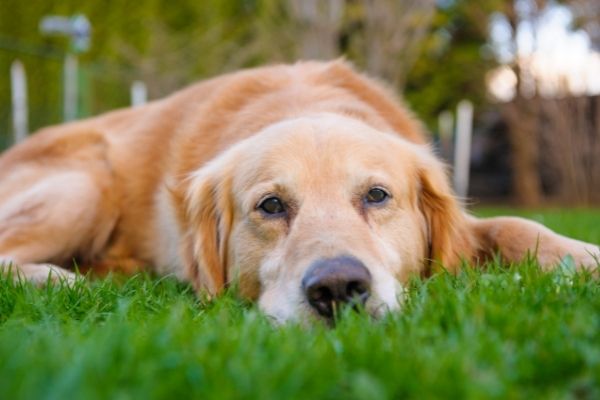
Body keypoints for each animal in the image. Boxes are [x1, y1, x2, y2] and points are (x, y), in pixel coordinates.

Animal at [0, 61, 596, 324]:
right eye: (271, 206)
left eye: (377, 196)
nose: (337, 288)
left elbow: (513, 226)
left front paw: (582, 256)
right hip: (83, 183)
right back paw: (62, 280)